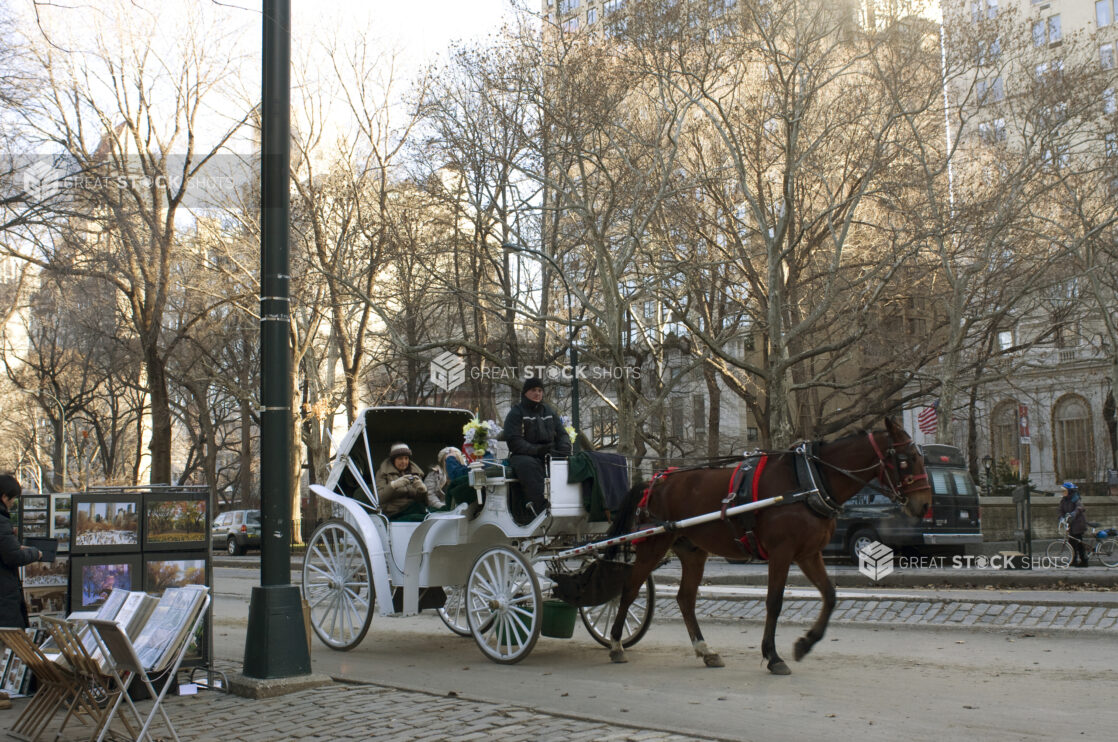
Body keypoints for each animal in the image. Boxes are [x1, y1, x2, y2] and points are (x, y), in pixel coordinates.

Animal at [608, 417, 930, 670]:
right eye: (905, 459)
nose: (923, 504)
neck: (808, 482)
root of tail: (656, 481)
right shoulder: (781, 553)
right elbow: (774, 602)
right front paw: (773, 656)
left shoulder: (809, 553)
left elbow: (830, 595)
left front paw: (805, 643)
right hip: (653, 545)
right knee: (629, 589)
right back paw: (616, 643)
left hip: (693, 551)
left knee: (685, 599)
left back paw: (705, 650)